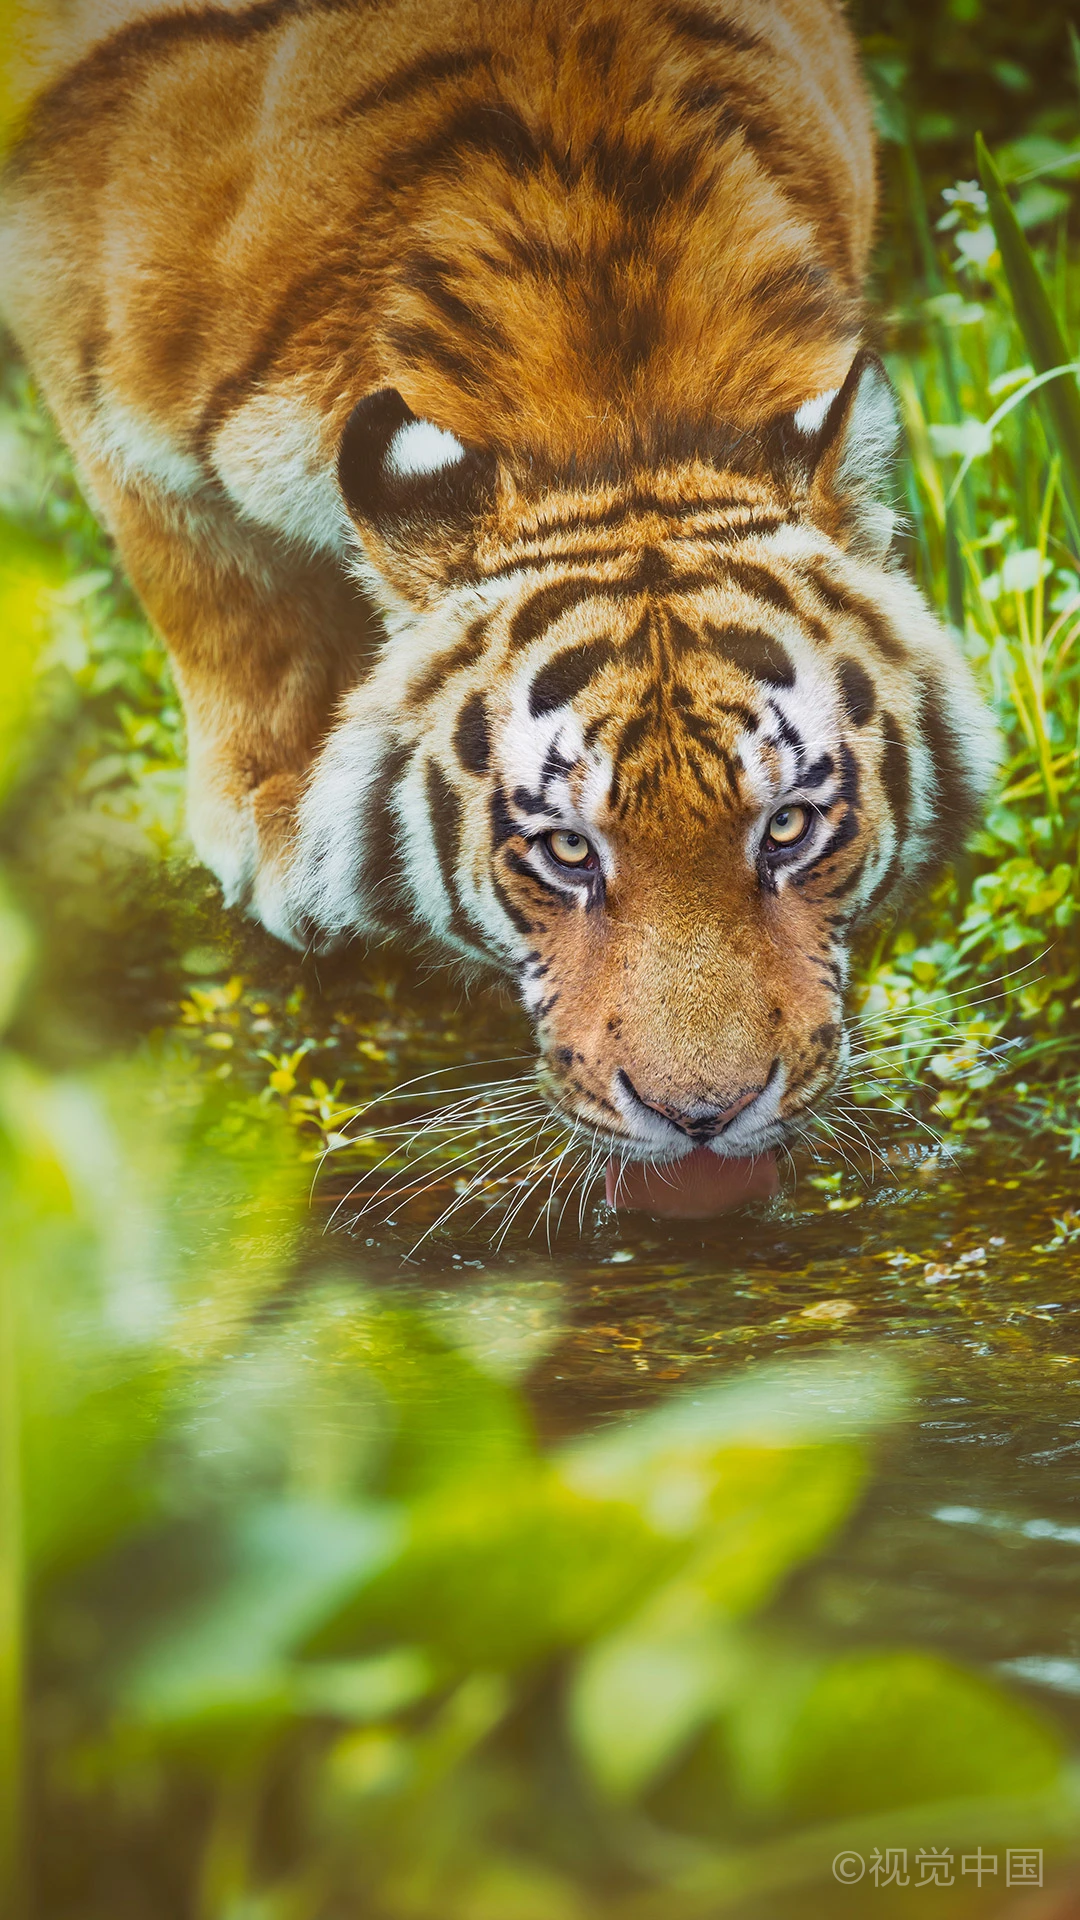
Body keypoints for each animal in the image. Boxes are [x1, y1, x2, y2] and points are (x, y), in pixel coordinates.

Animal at [0, 0, 991, 1198]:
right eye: (565, 851)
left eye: (790, 828)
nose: (704, 1118)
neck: (616, 401)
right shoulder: (80, 346)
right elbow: (215, 594)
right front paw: (271, 830)